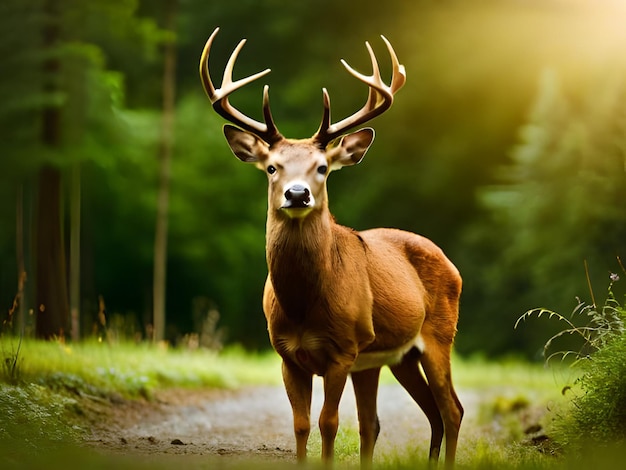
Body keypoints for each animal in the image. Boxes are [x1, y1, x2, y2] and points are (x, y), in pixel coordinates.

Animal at [200, 27, 464, 468]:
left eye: (322, 167)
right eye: (271, 167)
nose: (297, 194)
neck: (304, 306)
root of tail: (452, 265)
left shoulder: (342, 351)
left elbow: (329, 423)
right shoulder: (287, 355)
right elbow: (301, 425)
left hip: (439, 336)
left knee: (451, 409)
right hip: (394, 358)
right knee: (402, 418)